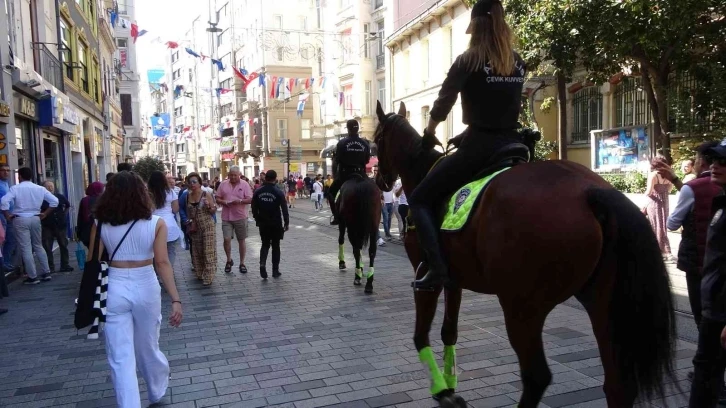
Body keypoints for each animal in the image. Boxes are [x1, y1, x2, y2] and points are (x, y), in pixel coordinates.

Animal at [376, 99, 676, 408]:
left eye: (376, 142)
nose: (380, 181)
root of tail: (591, 191)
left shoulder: (426, 279)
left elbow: (420, 336)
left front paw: (442, 390)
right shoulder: (453, 280)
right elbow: (449, 331)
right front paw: (450, 384)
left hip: (521, 309)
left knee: (537, 377)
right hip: (603, 305)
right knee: (617, 386)